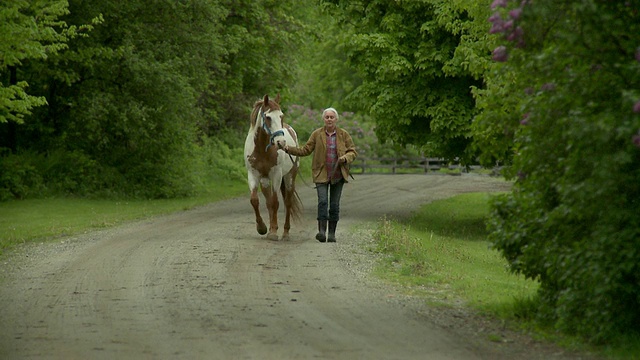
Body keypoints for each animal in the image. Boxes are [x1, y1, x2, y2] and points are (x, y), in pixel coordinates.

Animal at [242, 94, 302, 240]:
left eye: (281, 116)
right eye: (268, 117)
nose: (281, 142)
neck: (262, 149)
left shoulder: (276, 175)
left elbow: (275, 202)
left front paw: (274, 232)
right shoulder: (253, 175)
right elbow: (255, 200)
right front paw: (262, 228)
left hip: (290, 177)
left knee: (288, 202)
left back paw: (285, 233)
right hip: (265, 181)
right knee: (268, 203)